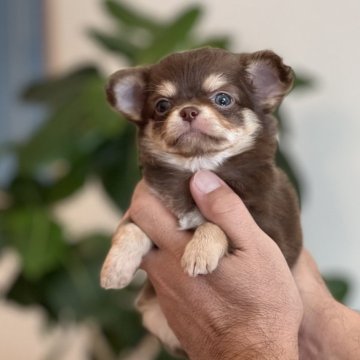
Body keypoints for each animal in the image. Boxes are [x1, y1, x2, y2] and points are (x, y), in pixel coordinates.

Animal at [100, 47, 302, 354]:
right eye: (162, 105)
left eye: (223, 99)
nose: (188, 110)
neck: (199, 166)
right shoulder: (143, 208)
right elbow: (131, 229)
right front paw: (115, 266)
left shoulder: (269, 228)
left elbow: (215, 225)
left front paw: (199, 251)